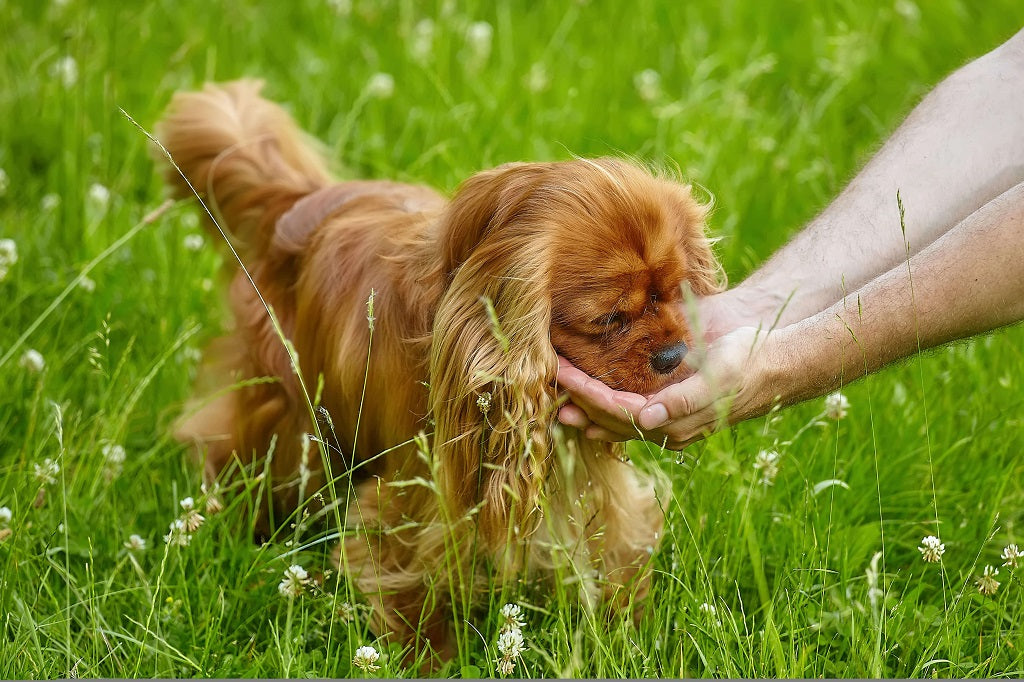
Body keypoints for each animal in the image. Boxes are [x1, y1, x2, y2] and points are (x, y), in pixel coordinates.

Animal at [157, 79, 720, 659]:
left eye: (674, 293)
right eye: (609, 319)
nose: (673, 355)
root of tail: (296, 201)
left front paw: (628, 634)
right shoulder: (415, 504)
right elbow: (411, 589)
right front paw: (430, 658)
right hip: (289, 415)